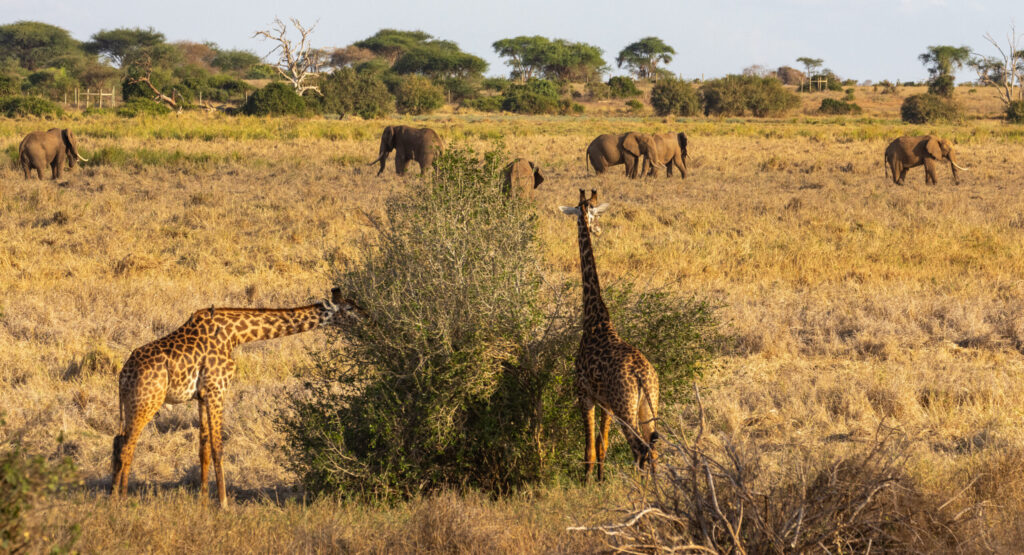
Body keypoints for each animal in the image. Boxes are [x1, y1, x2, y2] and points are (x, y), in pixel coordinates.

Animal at [110, 288, 364, 507]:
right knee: (127, 447)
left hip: (131, 404)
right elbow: (218, 447)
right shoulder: (217, 389)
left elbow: (203, 448)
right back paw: (121, 500)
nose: (368, 317)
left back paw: (112, 494)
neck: (235, 335)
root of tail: (123, 375)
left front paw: (203, 501)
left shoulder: (202, 395)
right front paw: (223, 503)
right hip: (147, 402)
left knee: (118, 442)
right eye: (350, 308)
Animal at [559, 189, 660, 482]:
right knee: (654, 449)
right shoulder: (606, 402)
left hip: (627, 409)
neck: (595, 318)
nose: (597, 229)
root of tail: (642, 378)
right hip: (648, 406)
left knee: (640, 449)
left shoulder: (584, 394)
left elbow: (589, 448)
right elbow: (602, 444)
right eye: (593, 212)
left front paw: (587, 482)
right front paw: (601, 479)